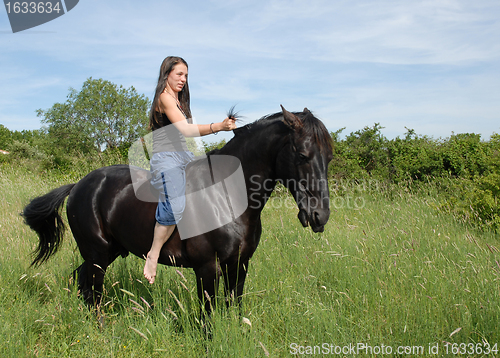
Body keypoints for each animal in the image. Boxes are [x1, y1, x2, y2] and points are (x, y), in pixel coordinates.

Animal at [22, 105, 332, 314]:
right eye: (302, 155)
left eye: (328, 156)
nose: (320, 216)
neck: (226, 197)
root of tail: (78, 185)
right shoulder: (207, 268)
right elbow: (208, 317)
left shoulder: (239, 265)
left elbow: (234, 308)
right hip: (97, 254)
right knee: (93, 291)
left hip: (106, 252)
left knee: (82, 281)